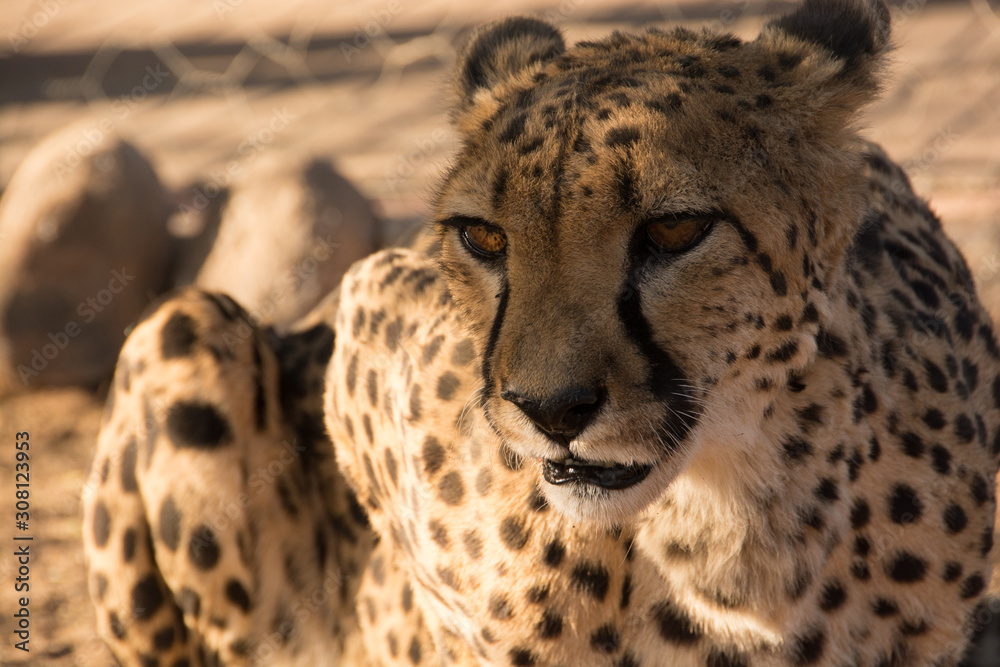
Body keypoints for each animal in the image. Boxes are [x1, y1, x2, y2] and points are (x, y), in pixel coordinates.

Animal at [82, 0, 1000, 665]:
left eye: (676, 230)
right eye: (484, 239)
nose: (551, 407)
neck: (727, 517)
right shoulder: (367, 309)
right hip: (186, 325)